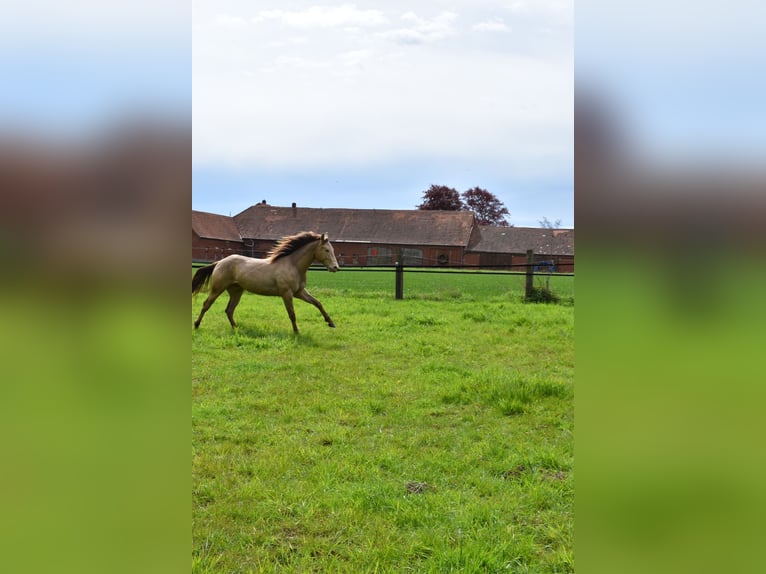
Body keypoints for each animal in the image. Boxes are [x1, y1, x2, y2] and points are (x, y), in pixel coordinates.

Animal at [192, 232, 340, 336]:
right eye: (326, 250)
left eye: (332, 249)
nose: (335, 268)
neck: (293, 265)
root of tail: (219, 262)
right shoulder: (287, 293)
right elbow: (292, 314)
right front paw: (297, 332)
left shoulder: (299, 292)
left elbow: (317, 303)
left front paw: (331, 323)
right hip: (218, 289)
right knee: (206, 305)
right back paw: (196, 324)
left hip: (236, 291)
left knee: (229, 310)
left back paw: (236, 328)